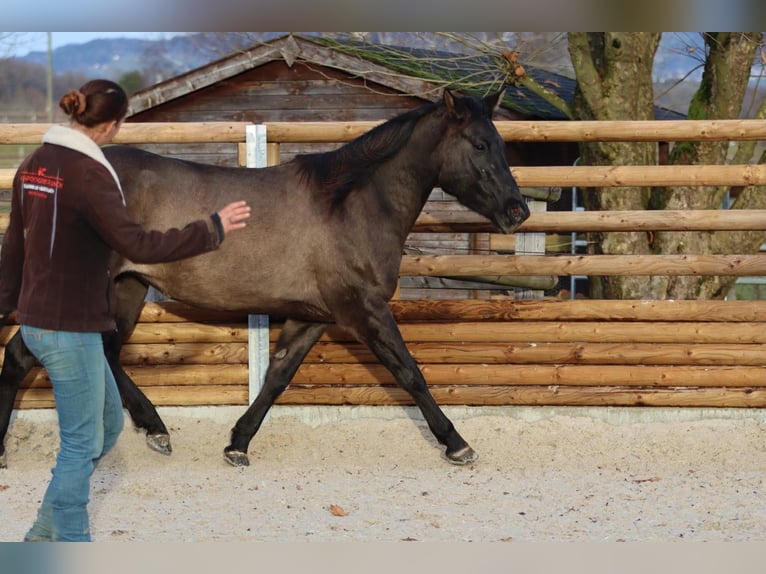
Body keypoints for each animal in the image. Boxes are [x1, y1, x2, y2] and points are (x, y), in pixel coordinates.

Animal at [0, 89, 529, 469]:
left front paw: (238, 443)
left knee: (104, 351)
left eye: (503, 144)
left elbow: (278, 376)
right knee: (23, 354)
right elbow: (410, 373)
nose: (517, 212)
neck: (350, 204)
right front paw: (457, 444)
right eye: (480, 144)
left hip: (125, 286)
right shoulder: (363, 309)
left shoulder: (315, 316)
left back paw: (156, 429)